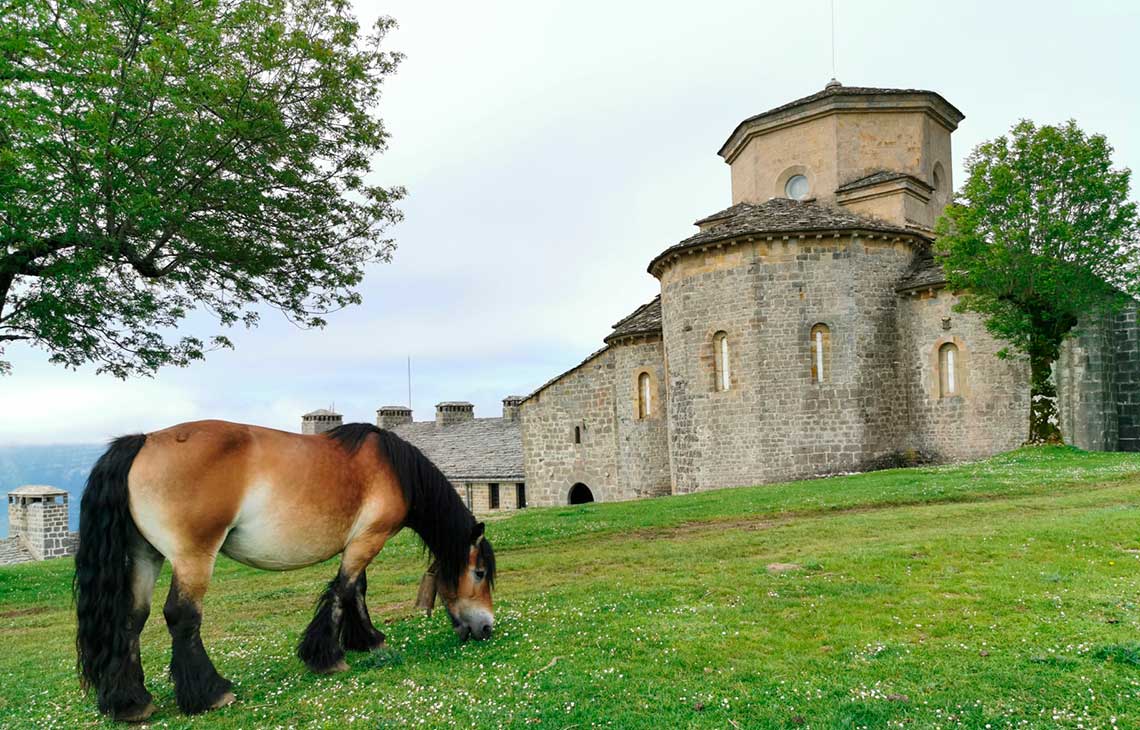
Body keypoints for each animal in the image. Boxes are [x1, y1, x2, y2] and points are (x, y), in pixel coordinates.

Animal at [72, 419, 494, 720]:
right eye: (479, 573)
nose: (486, 628)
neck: (393, 468)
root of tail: (143, 441)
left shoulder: (358, 541)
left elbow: (356, 589)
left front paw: (367, 639)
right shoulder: (368, 539)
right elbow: (344, 590)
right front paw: (327, 656)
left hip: (145, 556)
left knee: (132, 619)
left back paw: (131, 702)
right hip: (193, 557)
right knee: (182, 617)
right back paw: (212, 692)